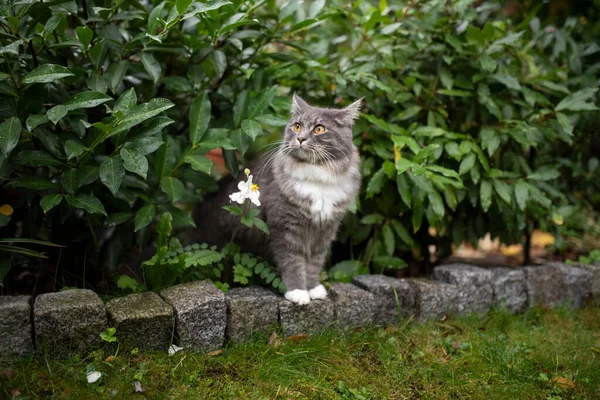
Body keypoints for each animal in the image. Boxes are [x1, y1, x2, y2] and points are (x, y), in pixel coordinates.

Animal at [190, 95, 364, 304]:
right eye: (297, 126)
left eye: (319, 129)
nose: (300, 138)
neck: (317, 178)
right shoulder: (285, 227)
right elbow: (293, 261)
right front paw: (298, 292)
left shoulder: (325, 231)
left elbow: (314, 263)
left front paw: (314, 288)